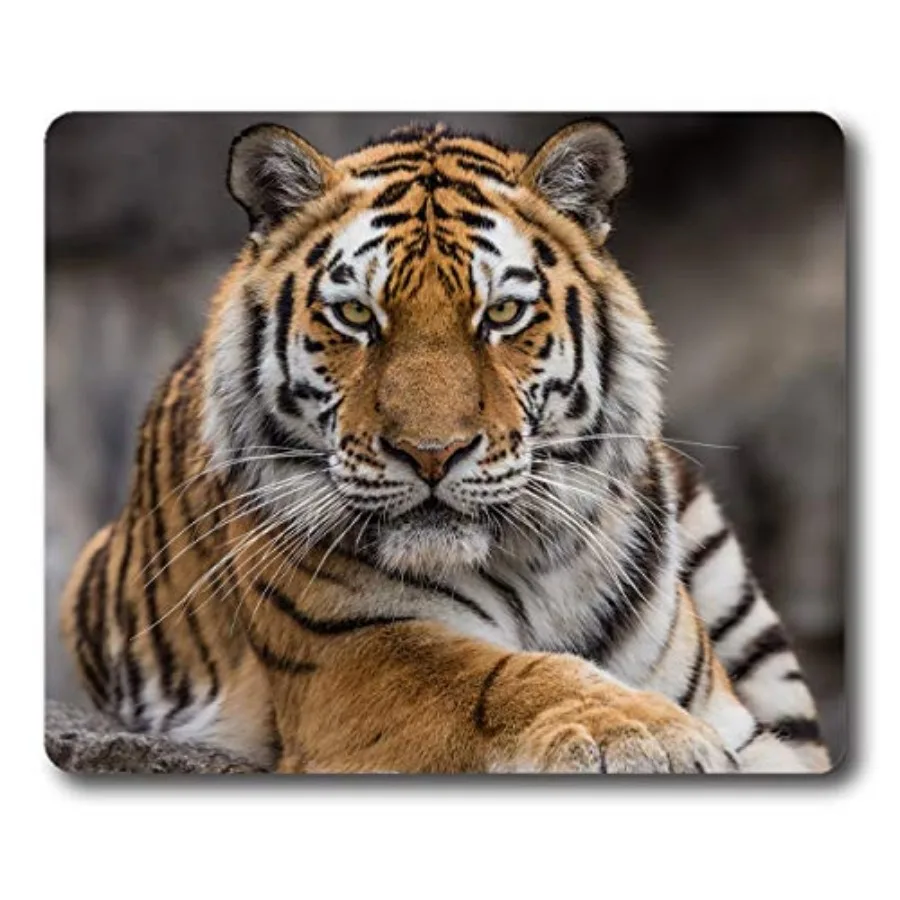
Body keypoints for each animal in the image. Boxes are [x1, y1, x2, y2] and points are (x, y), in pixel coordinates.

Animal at [59, 118, 831, 773]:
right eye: (355, 315)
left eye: (503, 313)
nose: (432, 453)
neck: (534, 567)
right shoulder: (353, 654)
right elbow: (502, 676)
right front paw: (647, 734)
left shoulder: (744, 723)